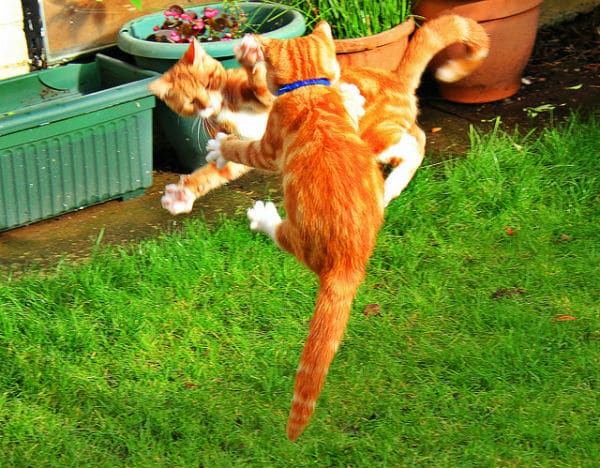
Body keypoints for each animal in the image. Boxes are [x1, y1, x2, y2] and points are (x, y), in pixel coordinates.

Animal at [155, 14, 488, 212]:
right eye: (190, 103)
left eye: (209, 82)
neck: (227, 105)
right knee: (416, 136)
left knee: (413, 144)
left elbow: (259, 84)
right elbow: (210, 174)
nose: (207, 105)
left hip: (375, 135)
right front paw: (182, 195)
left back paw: (391, 186)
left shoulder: (267, 99)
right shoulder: (247, 144)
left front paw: (251, 56)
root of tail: (394, 77)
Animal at [206, 22, 384, 440]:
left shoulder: (270, 145)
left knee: (282, 236)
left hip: (300, 232)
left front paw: (222, 146)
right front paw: (352, 96)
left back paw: (263, 217)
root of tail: (348, 261)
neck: (309, 87)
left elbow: (245, 148)